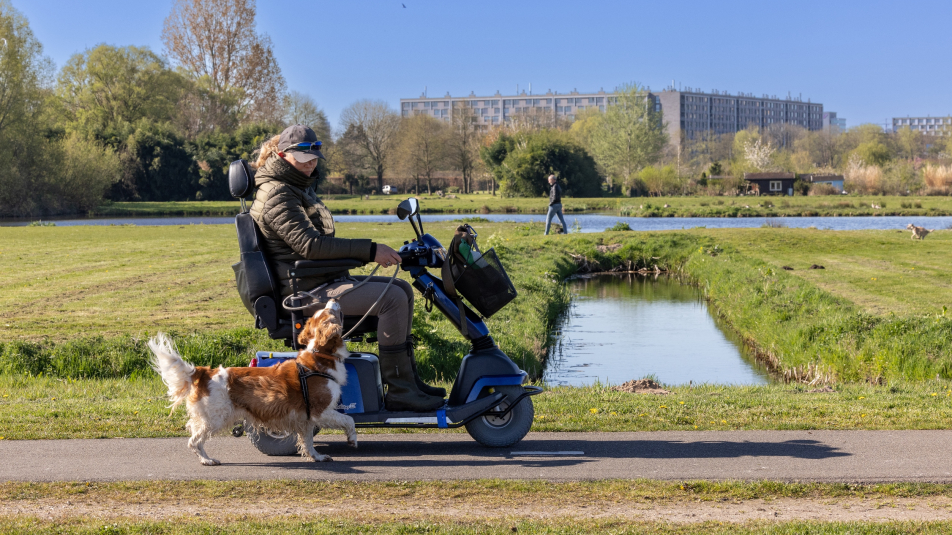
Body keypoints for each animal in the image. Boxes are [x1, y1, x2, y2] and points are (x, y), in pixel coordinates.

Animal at [149, 300, 356, 466]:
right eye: (330, 311)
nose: (332, 299)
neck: (319, 358)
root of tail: (203, 371)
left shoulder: (305, 418)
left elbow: (308, 442)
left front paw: (317, 457)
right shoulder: (320, 411)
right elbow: (349, 420)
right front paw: (352, 439)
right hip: (215, 419)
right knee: (194, 441)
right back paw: (207, 460)